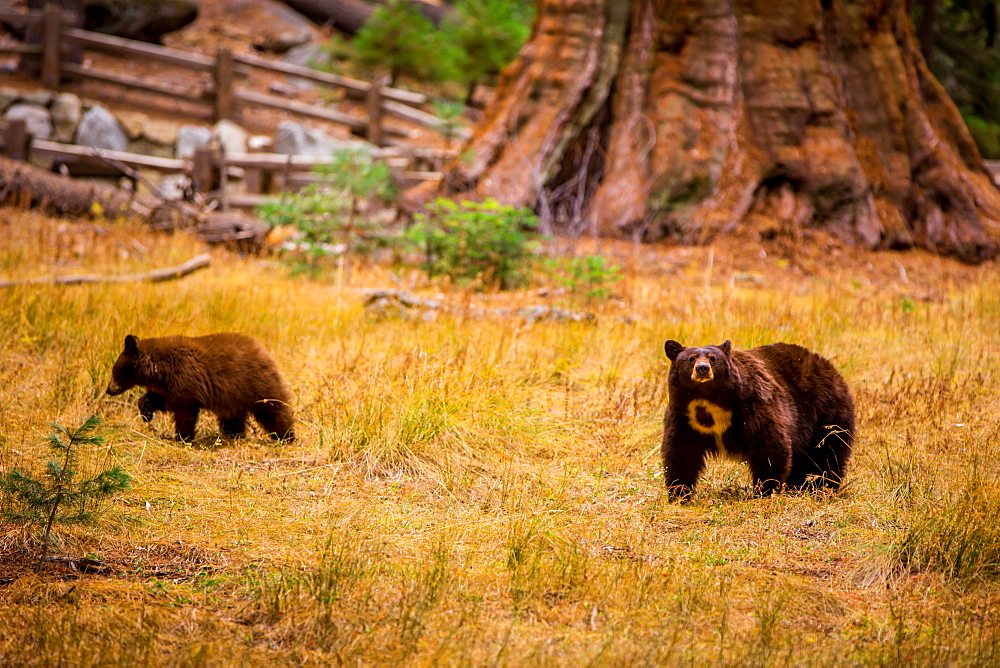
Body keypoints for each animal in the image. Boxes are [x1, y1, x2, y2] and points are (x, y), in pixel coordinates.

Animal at [106, 334, 294, 444]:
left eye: (114, 370)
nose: (109, 390)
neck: (158, 367)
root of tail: (262, 349)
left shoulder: (184, 378)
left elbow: (185, 413)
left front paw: (182, 438)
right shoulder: (171, 385)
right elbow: (163, 399)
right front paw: (146, 412)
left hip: (256, 383)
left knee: (274, 409)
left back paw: (286, 436)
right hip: (234, 396)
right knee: (233, 418)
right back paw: (234, 435)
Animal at [660, 342, 856, 498]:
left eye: (712, 358)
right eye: (691, 358)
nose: (702, 368)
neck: (708, 400)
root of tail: (830, 368)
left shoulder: (754, 404)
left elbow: (769, 445)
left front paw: (764, 491)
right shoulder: (684, 415)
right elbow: (681, 451)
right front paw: (678, 493)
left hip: (826, 414)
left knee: (827, 453)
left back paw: (822, 487)